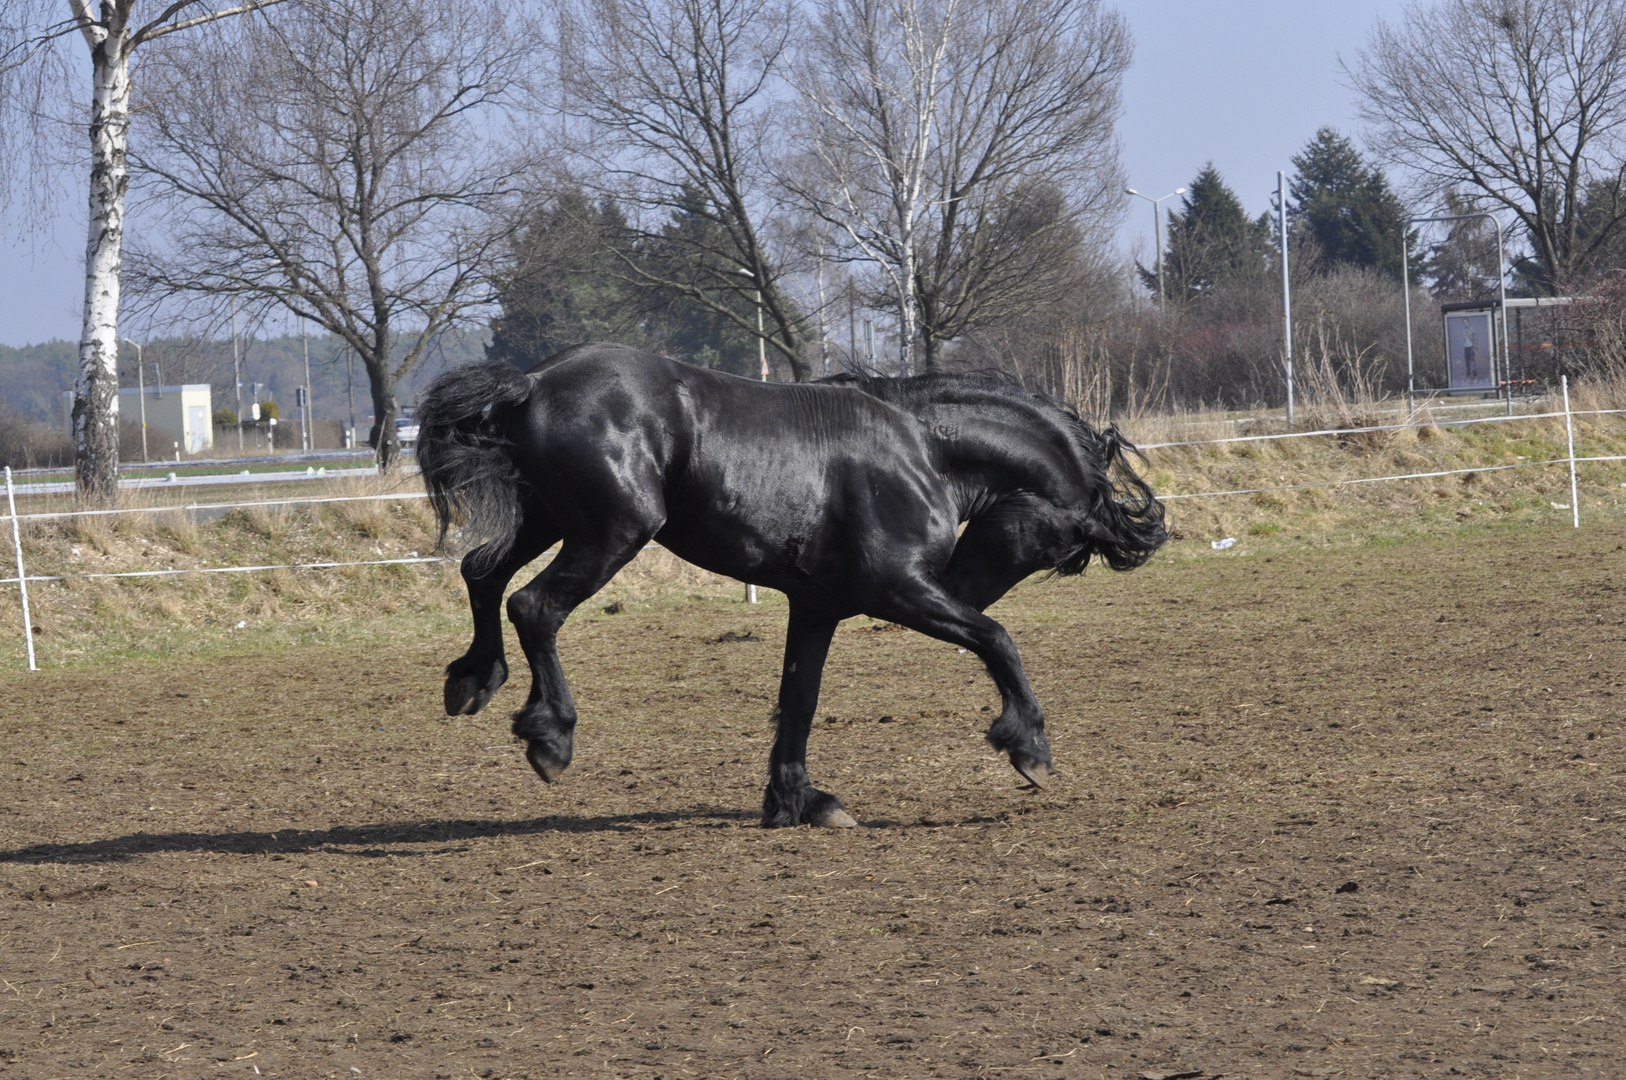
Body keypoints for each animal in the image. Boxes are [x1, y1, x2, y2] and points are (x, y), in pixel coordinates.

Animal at [413, 343, 1164, 826]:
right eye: (1053, 548)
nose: (965, 584)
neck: (923, 449)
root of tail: (531, 385)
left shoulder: (818, 606)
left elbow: (799, 700)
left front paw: (800, 801)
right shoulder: (897, 590)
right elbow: (997, 639)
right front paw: (1028, 746)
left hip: (548, 518)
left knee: (481, 574)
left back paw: (474, 679)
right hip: (612, 531)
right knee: (533, 606)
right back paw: (550, 736)